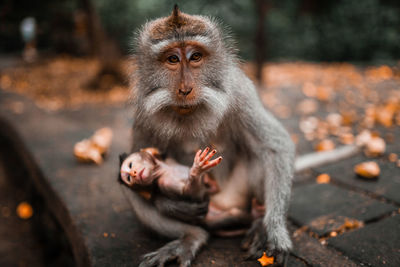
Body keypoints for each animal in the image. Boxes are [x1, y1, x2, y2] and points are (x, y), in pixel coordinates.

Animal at [130, 5, 296, 267]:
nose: (185, 89)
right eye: (172, 59)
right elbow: (139, 159)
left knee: (261, 156)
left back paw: (260, 223)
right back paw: (191, 237)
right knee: (133, 191)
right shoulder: (142, 113)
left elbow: (275, 148)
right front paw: (172, 205)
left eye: (195, 57)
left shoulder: (240, 93)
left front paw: (276, 233)